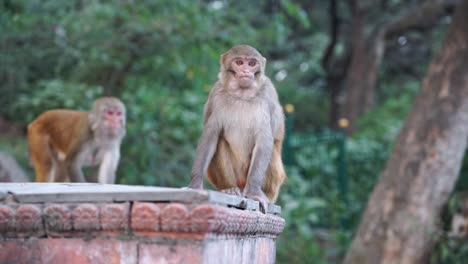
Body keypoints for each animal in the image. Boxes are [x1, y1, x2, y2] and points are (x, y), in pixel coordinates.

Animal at [188, 44, 288, 211]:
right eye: (239, 62)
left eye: (252, 63)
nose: (246, 71)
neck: (242, 94)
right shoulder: (216, 94)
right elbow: (211, 136)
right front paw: (194, 185)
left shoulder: (267, 94)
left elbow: (264, 141)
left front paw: (254, 192)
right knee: (220, 141)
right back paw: (230, 188)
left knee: (271, 151)